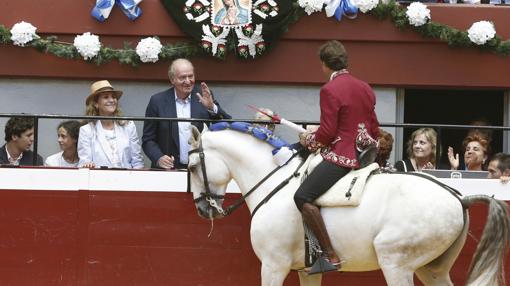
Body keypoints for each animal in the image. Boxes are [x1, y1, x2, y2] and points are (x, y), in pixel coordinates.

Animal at [187, 127, 510, 286]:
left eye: (190, 167)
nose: (203, 209)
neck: (273, 181)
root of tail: (458, 197)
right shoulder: (306, 272)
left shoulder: (272, 265)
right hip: (432, 269)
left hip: (396, 263)